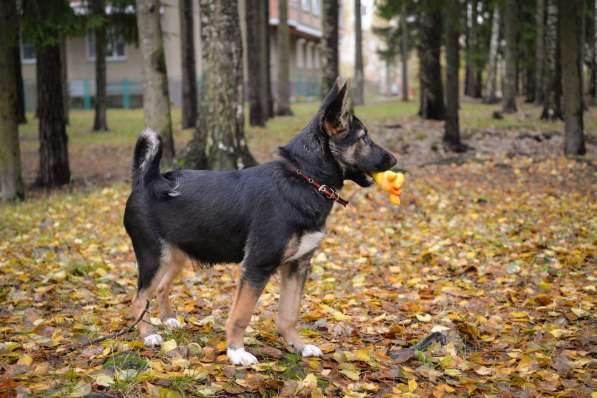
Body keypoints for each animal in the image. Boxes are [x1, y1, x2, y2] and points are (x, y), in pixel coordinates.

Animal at [123, 77, 396, 364]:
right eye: (363, 137)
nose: (394, 159)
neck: (305, 178)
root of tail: (145, 181)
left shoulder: (297, 265)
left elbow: (288, 315)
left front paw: (298, 346)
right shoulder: (258, 265)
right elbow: (241, 315)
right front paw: (236, 352)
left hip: (176, 256)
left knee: (161, 288)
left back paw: (167, 320)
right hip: (154, 256)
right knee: (139, 299)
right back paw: (148, 335)